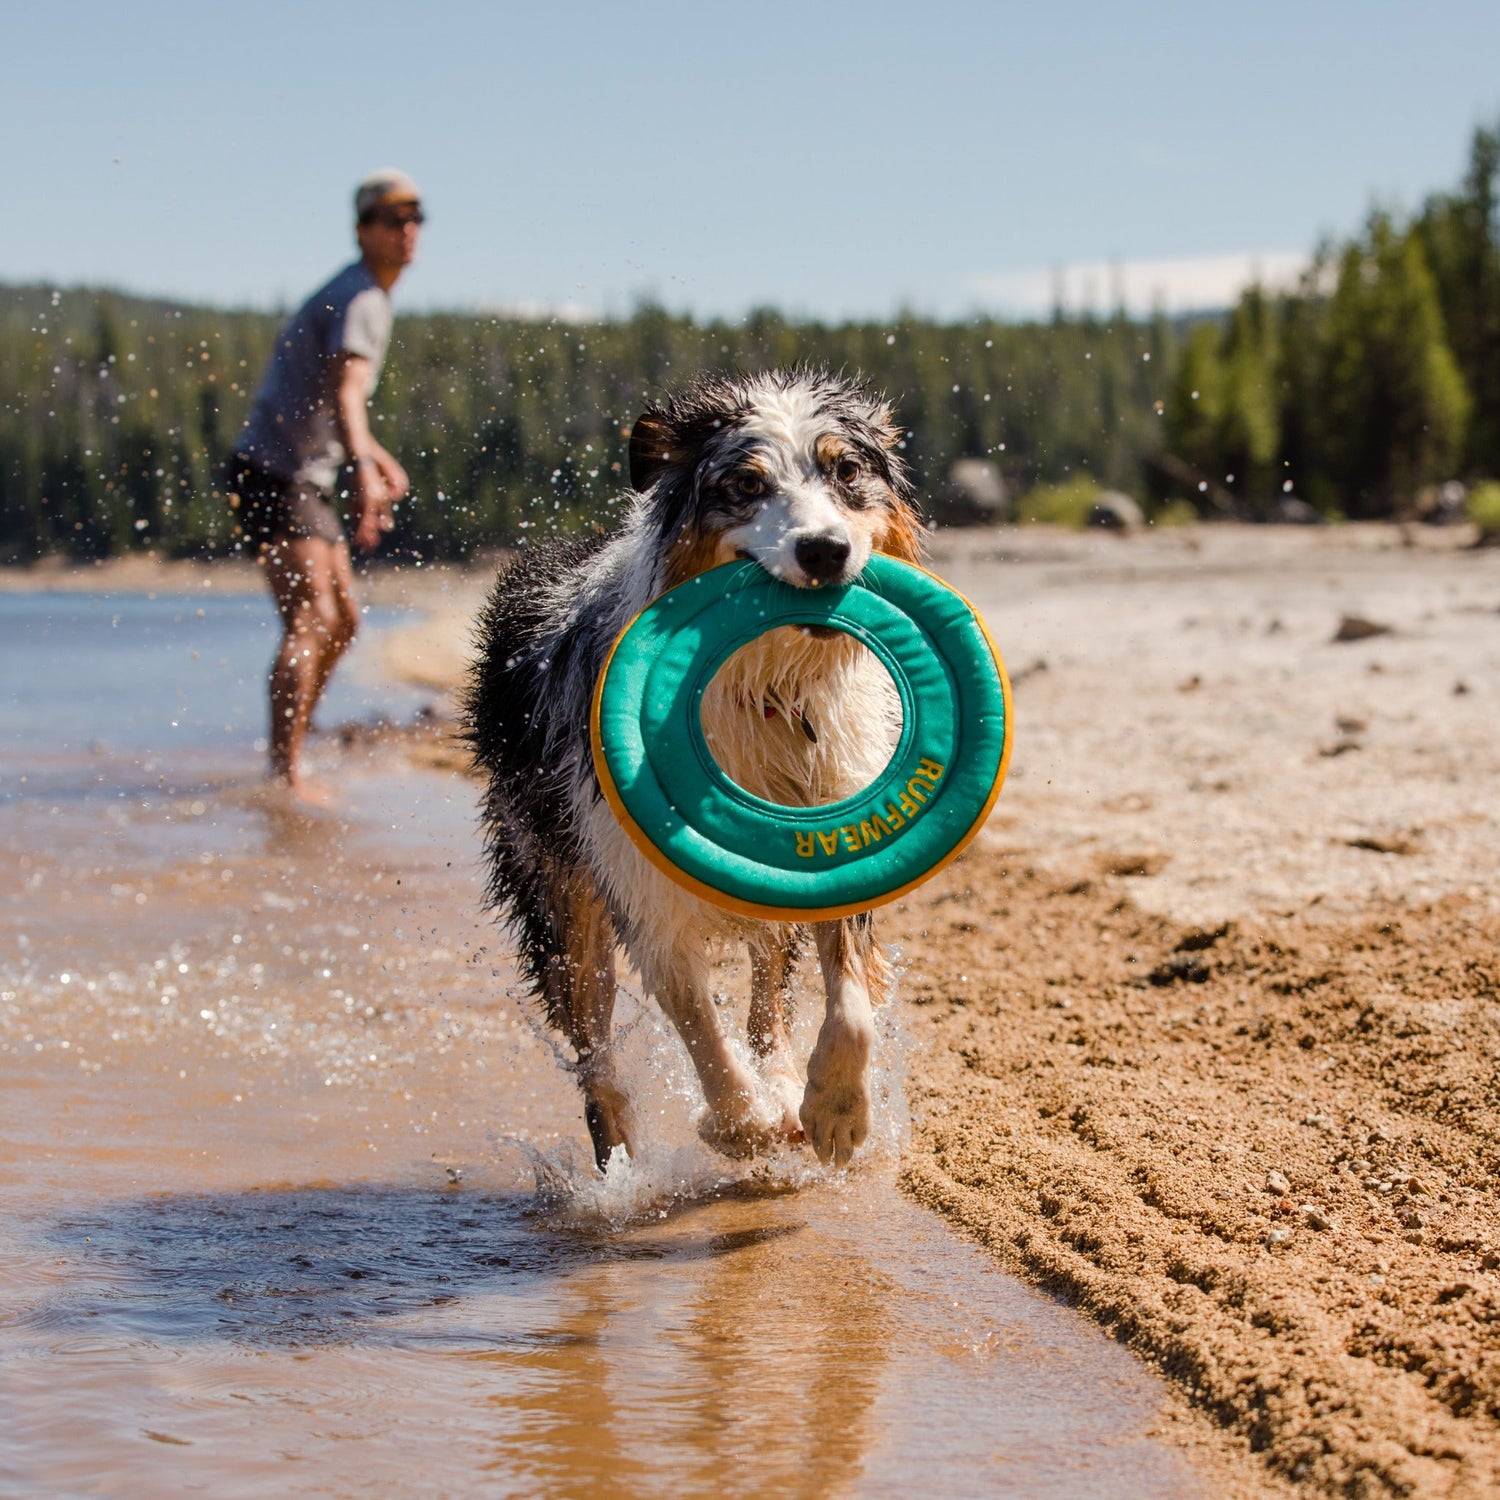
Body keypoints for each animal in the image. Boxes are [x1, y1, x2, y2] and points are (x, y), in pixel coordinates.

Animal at [465, 363, 924, 1170]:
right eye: (745, 483)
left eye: (846, 472)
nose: (825, 551)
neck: (767, 687)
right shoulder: (644, 885)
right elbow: (694, 1018)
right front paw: (743, 1123)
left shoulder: (833, 822)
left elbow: (848, 998)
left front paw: (835, 1109)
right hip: (559, 891)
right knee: (594, 1048)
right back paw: (620, 1163)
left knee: (769, 997)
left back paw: (783, 1078)